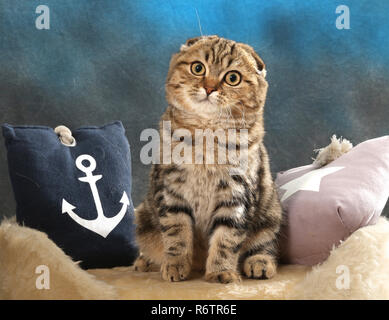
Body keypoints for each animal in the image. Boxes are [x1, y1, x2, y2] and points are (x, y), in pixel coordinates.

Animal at [133, 36, 282, 284]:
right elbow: (177, 234)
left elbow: (226, 239)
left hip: (270, 213)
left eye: (232, 78)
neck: (207, 133)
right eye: (198, 68)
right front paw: (175, 265)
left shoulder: (237, 194)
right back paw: (145, 262)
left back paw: (259, 263)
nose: (210, 88)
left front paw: (221, 272)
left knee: (265, 244)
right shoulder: (170, 190)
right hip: (143, 217)